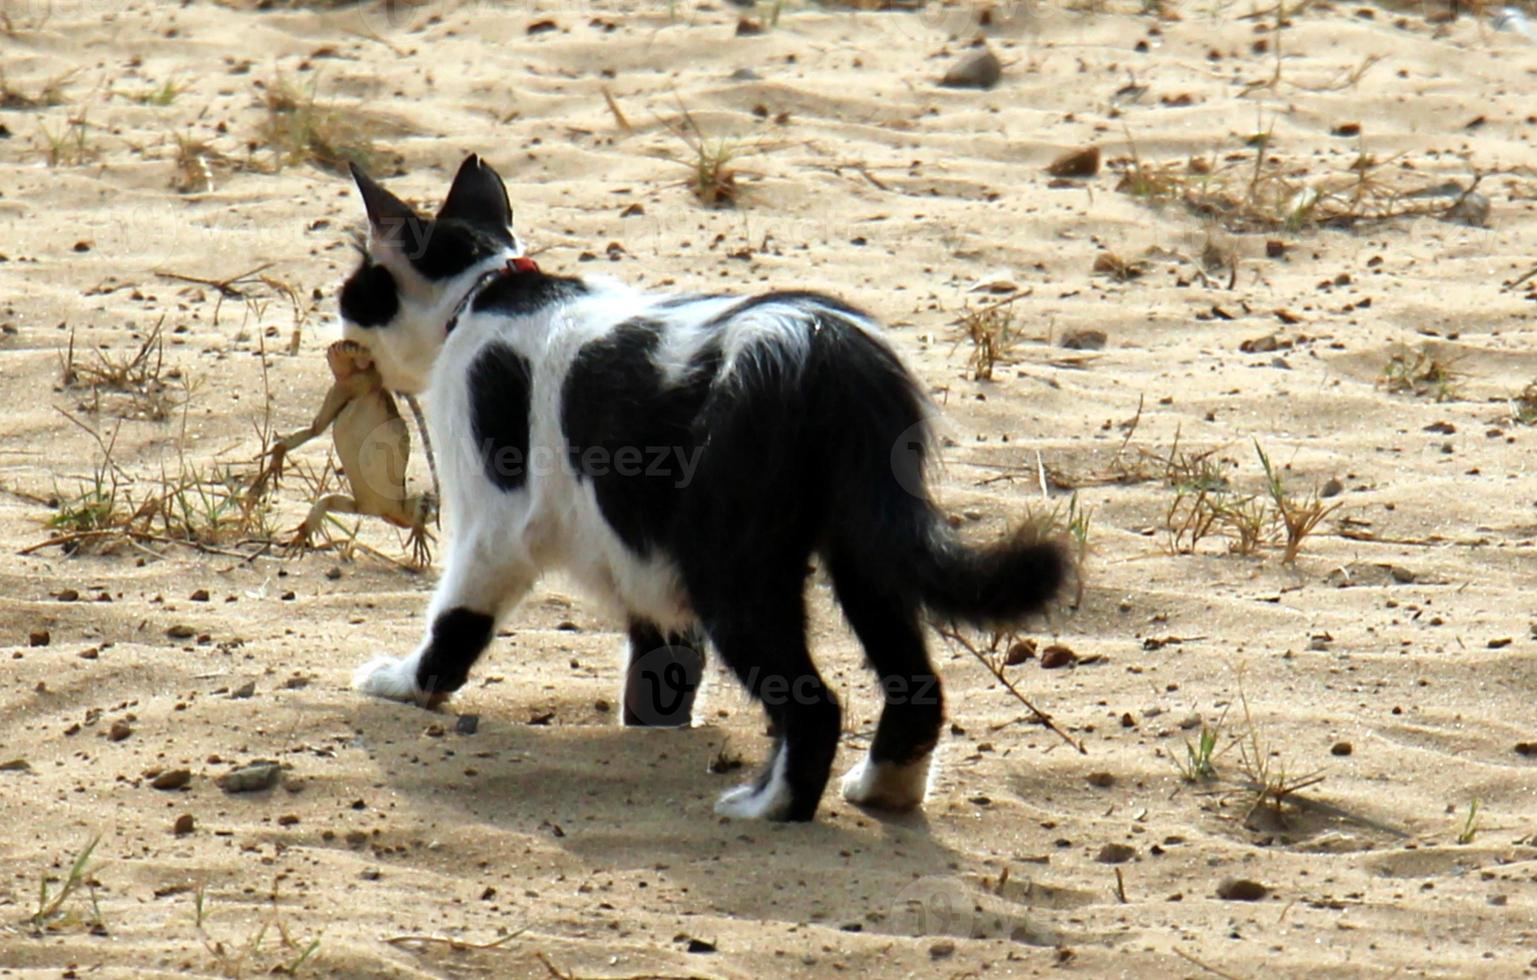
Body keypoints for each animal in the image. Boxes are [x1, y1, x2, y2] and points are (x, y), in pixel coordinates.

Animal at [345, 157, 1069, 823]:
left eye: (356, 291)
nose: (340, 316)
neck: (490, 292)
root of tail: (829, 348)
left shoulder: (493, 525)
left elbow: (454, 620)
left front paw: (403, 683)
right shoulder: (637, 553)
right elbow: (661, 664)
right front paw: (651, 727)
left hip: (729, 563)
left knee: (815, 703)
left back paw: (769, 805)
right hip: (865, 543)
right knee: (915, 684)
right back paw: (883, 790)